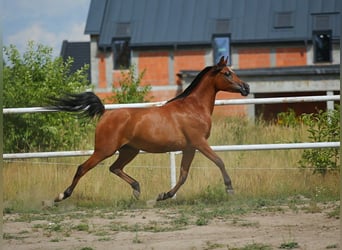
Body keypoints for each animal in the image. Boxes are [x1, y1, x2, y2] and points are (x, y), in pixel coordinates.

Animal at [50, 55, 248, 202]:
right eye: (227, 73)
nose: (246, 87)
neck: (193, 108)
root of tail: (106, 113)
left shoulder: (189, 148)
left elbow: (183, 175)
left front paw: (164, 195)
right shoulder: (200, 143)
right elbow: (219, 161)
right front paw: (230, 188)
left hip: (129, 150)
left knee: (115, 168)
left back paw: (137, 189)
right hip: (104, 150)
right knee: (82, 168)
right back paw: (61, 195)